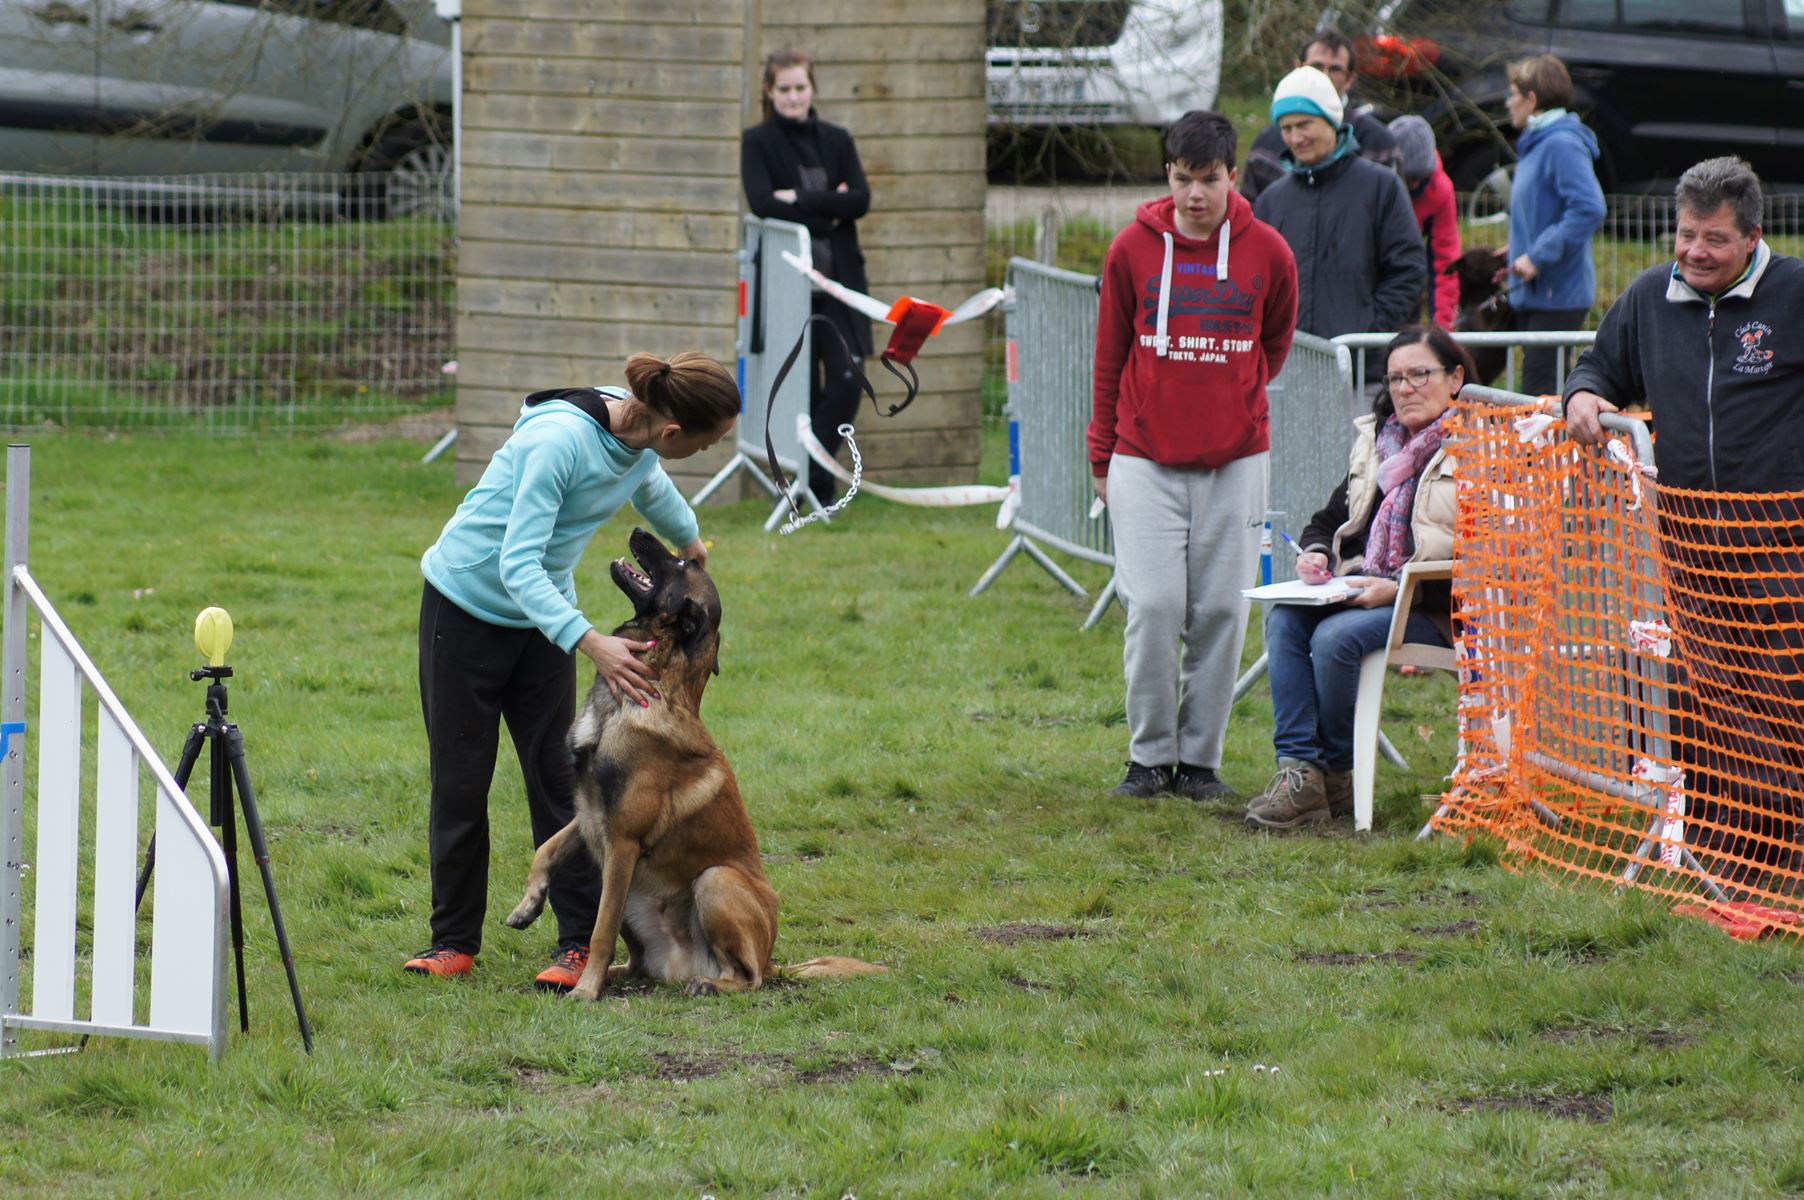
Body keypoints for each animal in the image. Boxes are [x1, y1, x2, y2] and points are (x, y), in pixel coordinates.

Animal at [505, 530, 883, 996]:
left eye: (683, 565)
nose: (639, 531)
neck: (646, 687)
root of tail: (776, 961)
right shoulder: (593, 815)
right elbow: (547, 848)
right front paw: (528, 905)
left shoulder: (623, 839)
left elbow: (600, 930)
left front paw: (586, 991)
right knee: (638, 964)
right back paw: (618, 975)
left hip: (713, 880)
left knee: (750, 977)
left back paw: (708, 984)